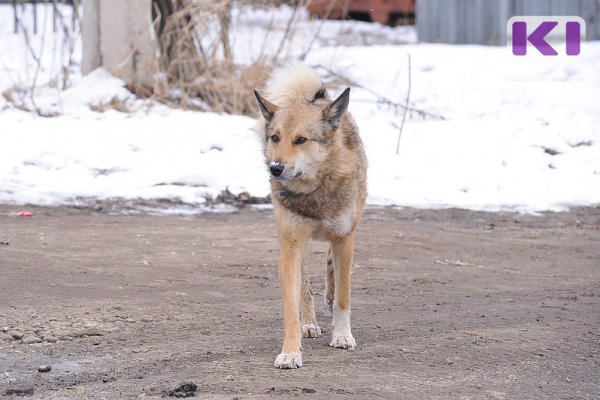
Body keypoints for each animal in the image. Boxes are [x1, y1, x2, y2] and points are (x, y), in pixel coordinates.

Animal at [252, 63, 368, 368]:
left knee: (330, 268)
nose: (275, 168)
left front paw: (342, 336)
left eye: (301, 140)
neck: (313, 191)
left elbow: (343, 297)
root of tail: (315, 99)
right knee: (305, 286)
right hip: (299, 245)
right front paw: (291, 352)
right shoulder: (291, 245)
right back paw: (310, 323)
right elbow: (291, 307)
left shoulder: (344, 239)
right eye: (275, 138)